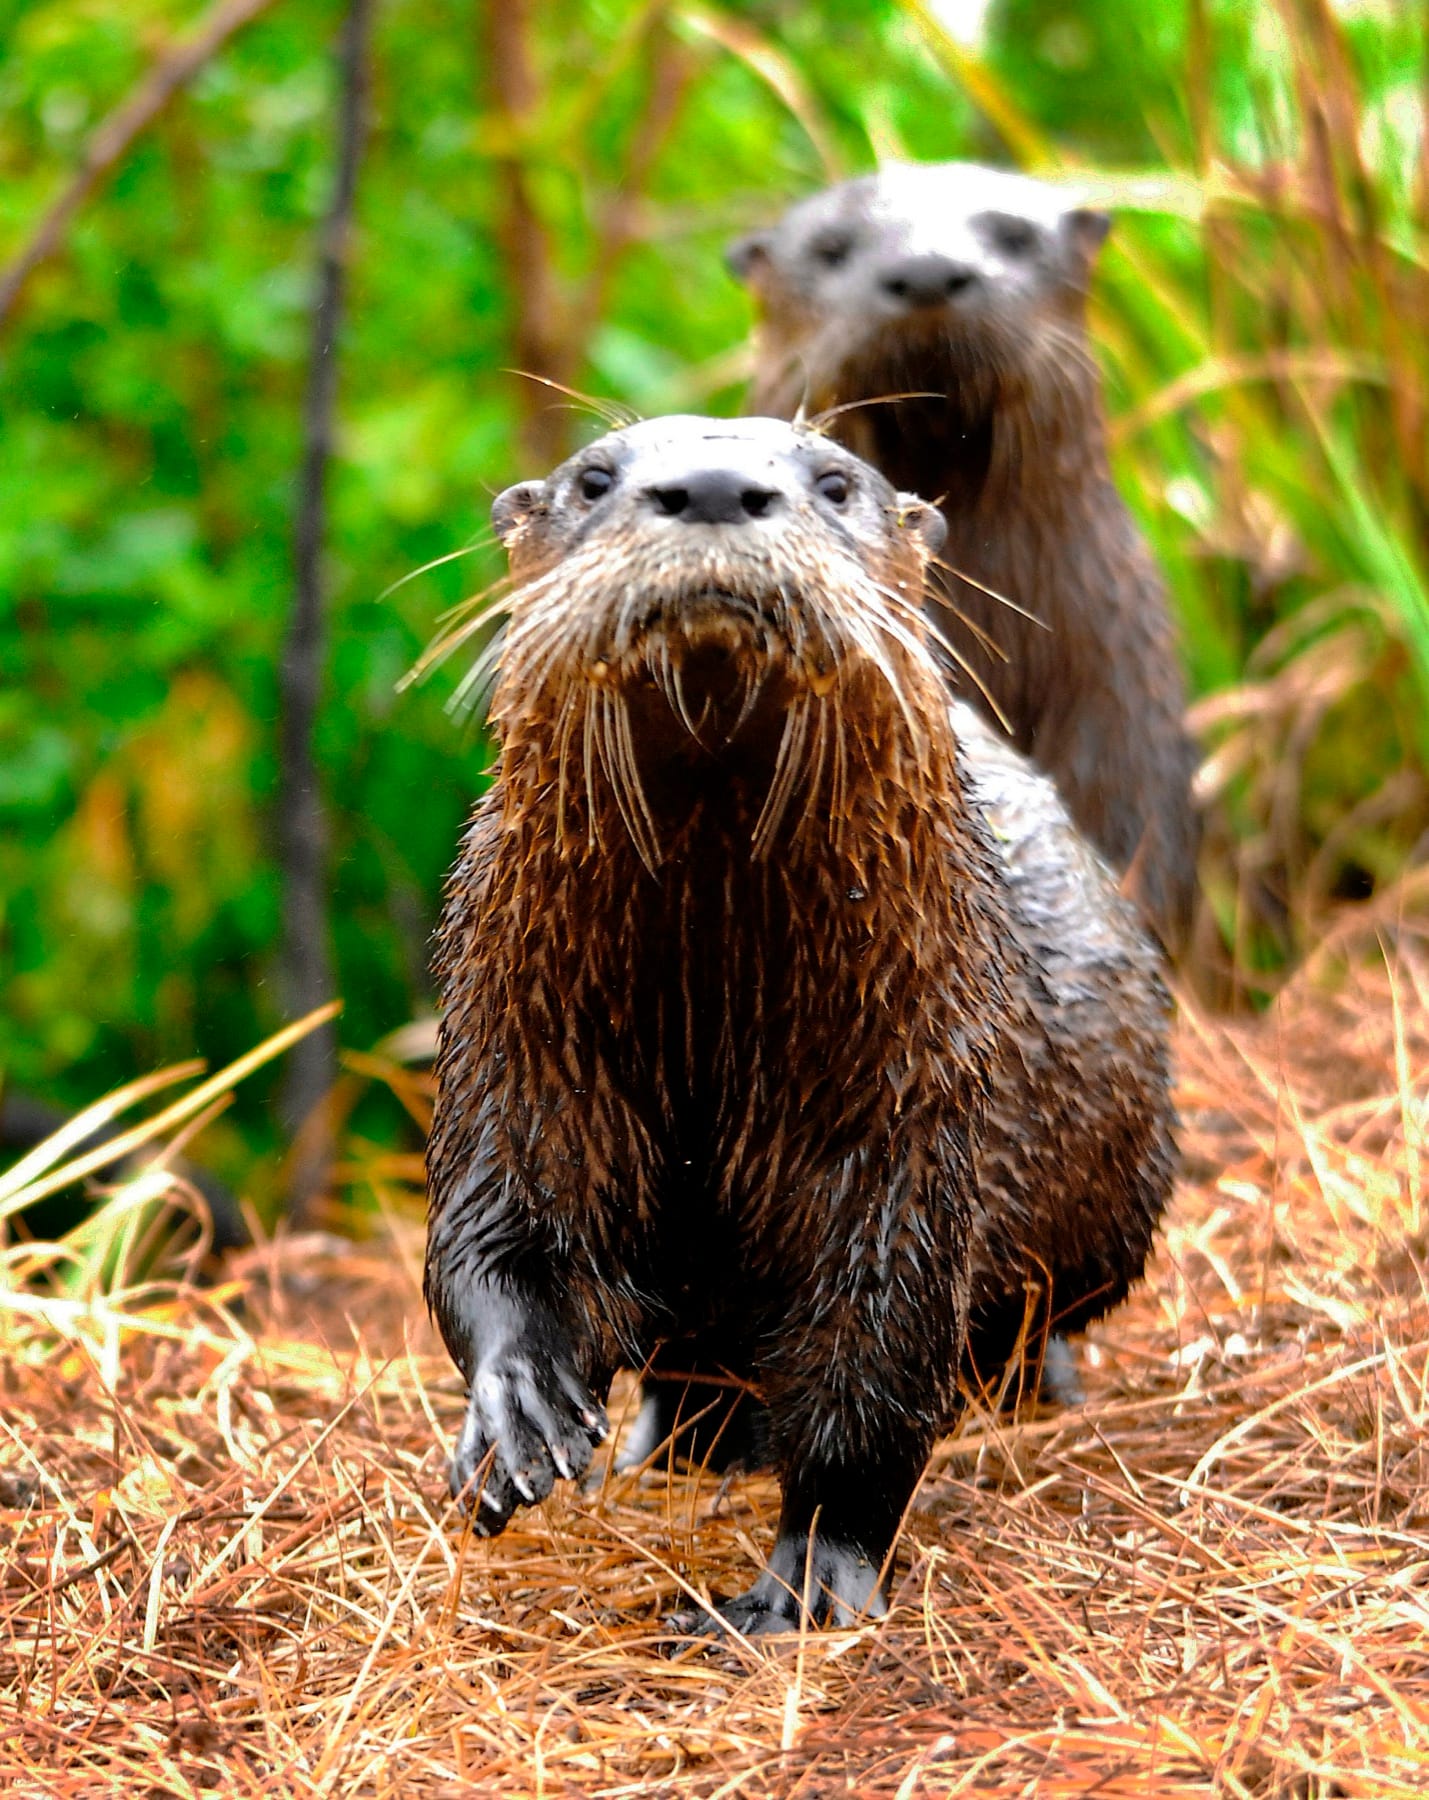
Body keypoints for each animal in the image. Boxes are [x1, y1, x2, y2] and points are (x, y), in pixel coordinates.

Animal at [424, 415, 1174, 1637]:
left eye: (833, 481)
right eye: (595, 477)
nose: (715, 486)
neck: (714, 1014)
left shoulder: (906, 1113)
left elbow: (879, 1357)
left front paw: (801, 1584)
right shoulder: (516, 1042)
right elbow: (496, 1242)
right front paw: (520, 1407)